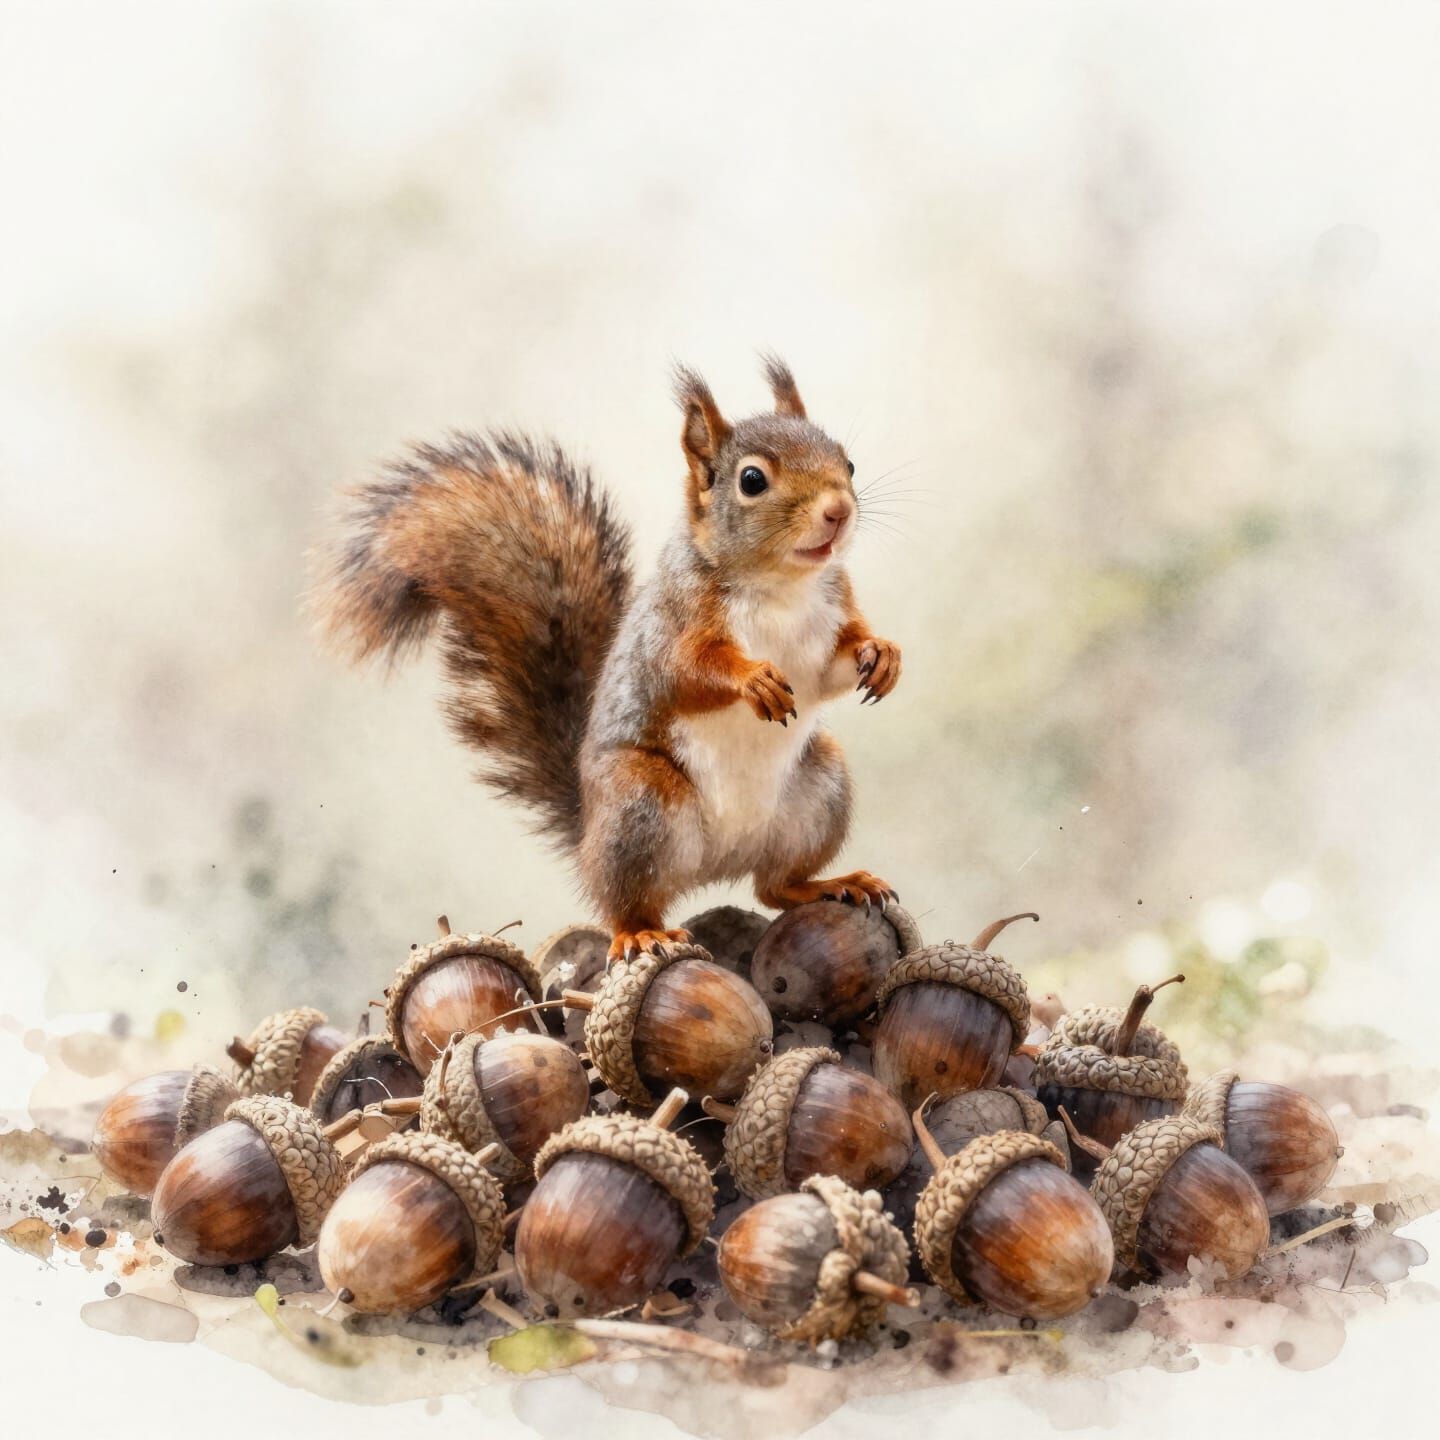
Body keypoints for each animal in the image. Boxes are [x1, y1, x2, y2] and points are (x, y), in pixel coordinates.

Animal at [315, 357, 902, 962]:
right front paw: (753, 679)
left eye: (847, 462)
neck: (781, 585)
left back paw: (831, 883)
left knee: (773, 887)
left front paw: (882, 654)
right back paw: (643, 932)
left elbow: (830, 669)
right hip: (638, 804)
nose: (838, 511)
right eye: (752, 480)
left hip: (820, 786)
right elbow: (687, 672)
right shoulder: (672, 625)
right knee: (626, 903)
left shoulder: (830, 614)